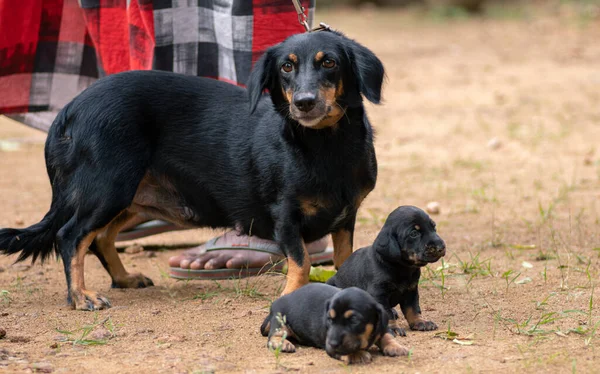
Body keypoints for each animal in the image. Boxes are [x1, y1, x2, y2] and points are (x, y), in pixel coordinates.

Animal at [258, 284, 408, 364]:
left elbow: (387, 336)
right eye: (329, 320)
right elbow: (344, 351)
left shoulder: (382, 326)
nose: (332, 343)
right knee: (273, 337)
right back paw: (283, 343)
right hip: (280, 321)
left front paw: (396, 347)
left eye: (354, 320)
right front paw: (357, 354)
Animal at [328, 206, 446, 338]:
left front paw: (420, 322)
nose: (441, 247)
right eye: (414, 234)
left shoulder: (411, 291)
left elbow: (413, 309)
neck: (401, 268)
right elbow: (387, 314)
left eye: (433, 227)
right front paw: (393, 328)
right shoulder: (379, 294)